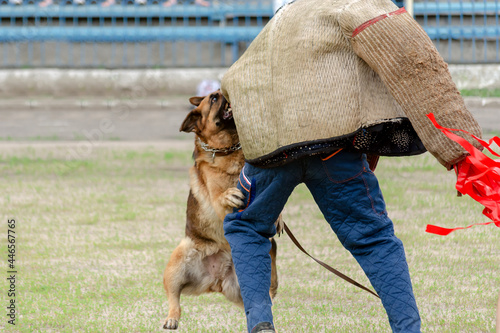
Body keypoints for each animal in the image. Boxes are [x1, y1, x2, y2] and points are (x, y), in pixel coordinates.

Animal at [164, 89, 282, 328]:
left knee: (268, 285)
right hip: (177, 261)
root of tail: (216, 281)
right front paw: (230, 195)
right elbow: (221, 198)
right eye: (213, 99)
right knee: (174, 299)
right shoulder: (218, 203)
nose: (221, 90)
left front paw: (280, 218)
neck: (227, 149)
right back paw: (172, 318)